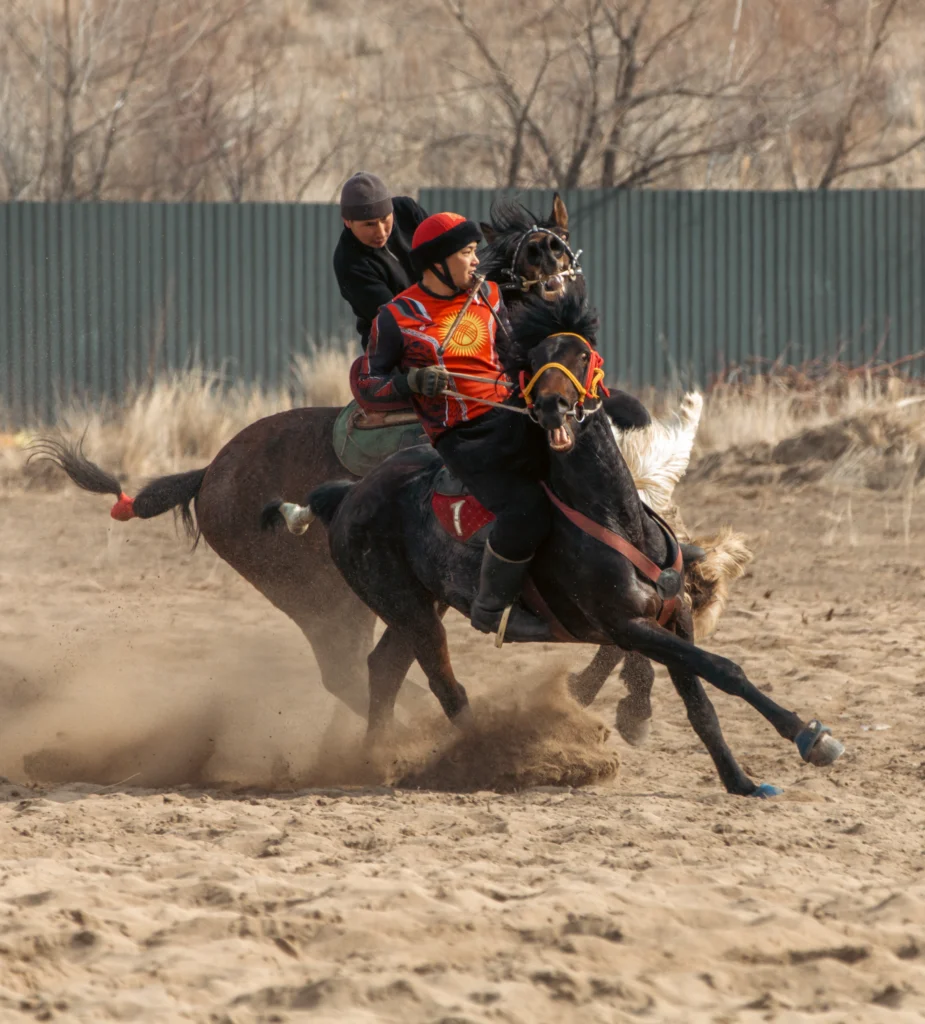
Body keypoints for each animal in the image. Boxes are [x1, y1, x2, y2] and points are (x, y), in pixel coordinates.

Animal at [29, 193, 746, 740]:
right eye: (530, 256)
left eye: (565, 253)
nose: (557, 292)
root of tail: (208, 475)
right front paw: (625, 700)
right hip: (325, 601)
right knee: (351, 670)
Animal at [264, 293, 844, 796]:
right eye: (536, 359)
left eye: (582, 354)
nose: (552, 406)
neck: (616, 518)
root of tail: (349, 493)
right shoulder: (626, 626)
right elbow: (723, 669)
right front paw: (810, 736)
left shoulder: (672, 617)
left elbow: (703, 701)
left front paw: (746, 778)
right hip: (409, 609)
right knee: (444, 687)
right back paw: (485, 759)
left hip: (418, 607)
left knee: (383, 670)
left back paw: (372, 758)